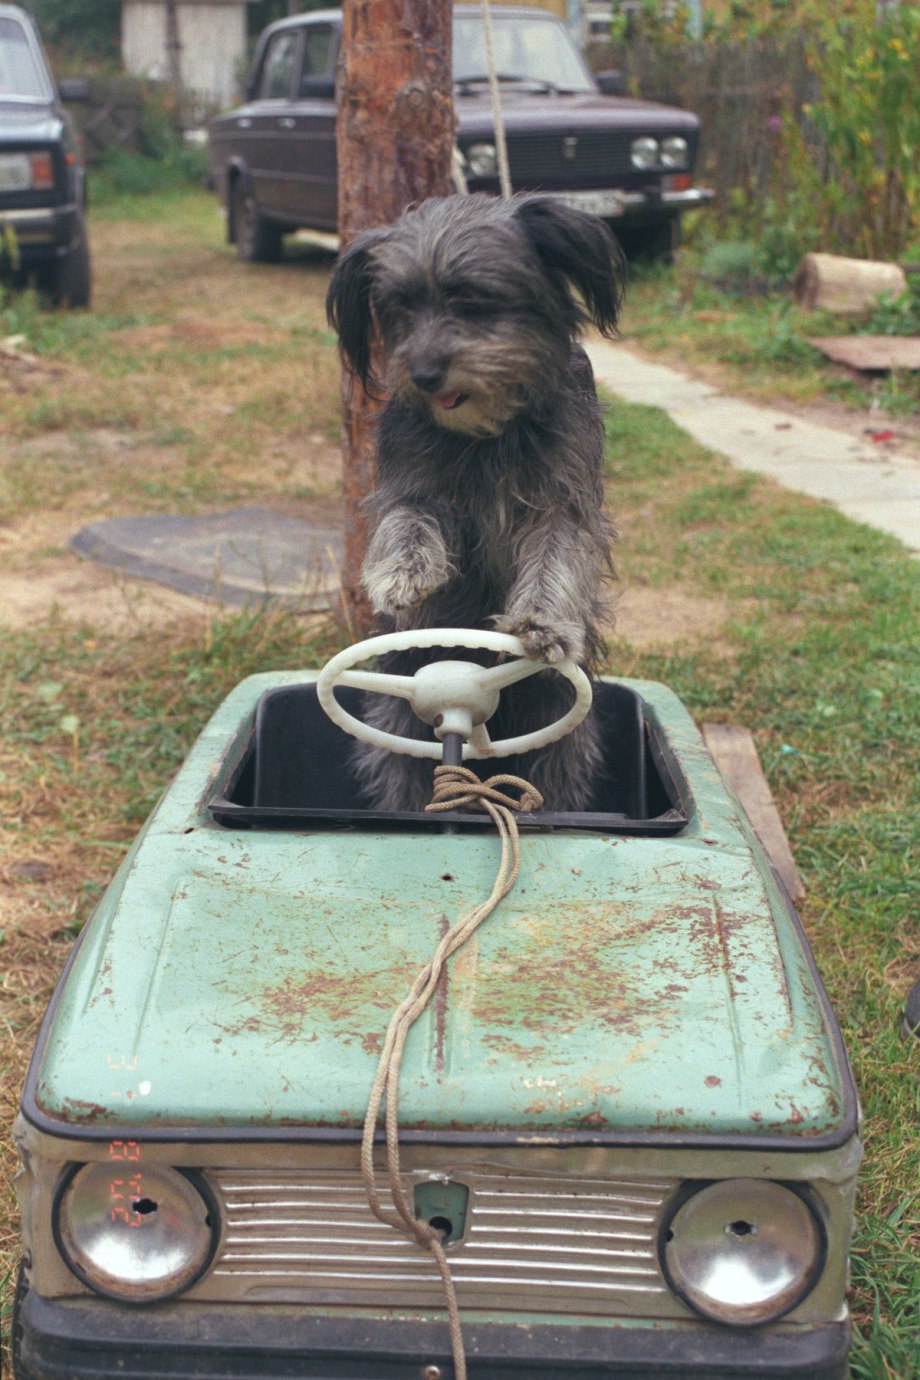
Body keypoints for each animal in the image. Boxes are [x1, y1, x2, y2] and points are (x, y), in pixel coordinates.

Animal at [325, 190, 626, 811]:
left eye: (471, 298)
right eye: (400, 306)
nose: (423, 373)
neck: (487, 434)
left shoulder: (563, 502)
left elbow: (556, 554)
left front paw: (541, 624)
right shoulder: (407, 482)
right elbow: (406, 519)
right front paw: (403, 573)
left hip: (563, 730)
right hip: (396, 718)